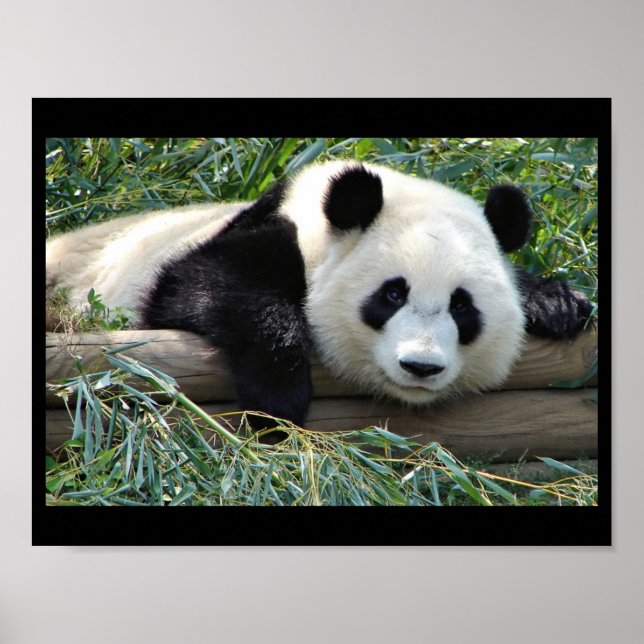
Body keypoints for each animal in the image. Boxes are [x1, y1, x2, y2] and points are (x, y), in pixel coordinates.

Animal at [46, 161, 592, 427]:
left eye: (462, 307)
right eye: (392, 295)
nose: (420, 366)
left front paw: (557, 304)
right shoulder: (259, 233)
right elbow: (200, 288)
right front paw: (279, 397)